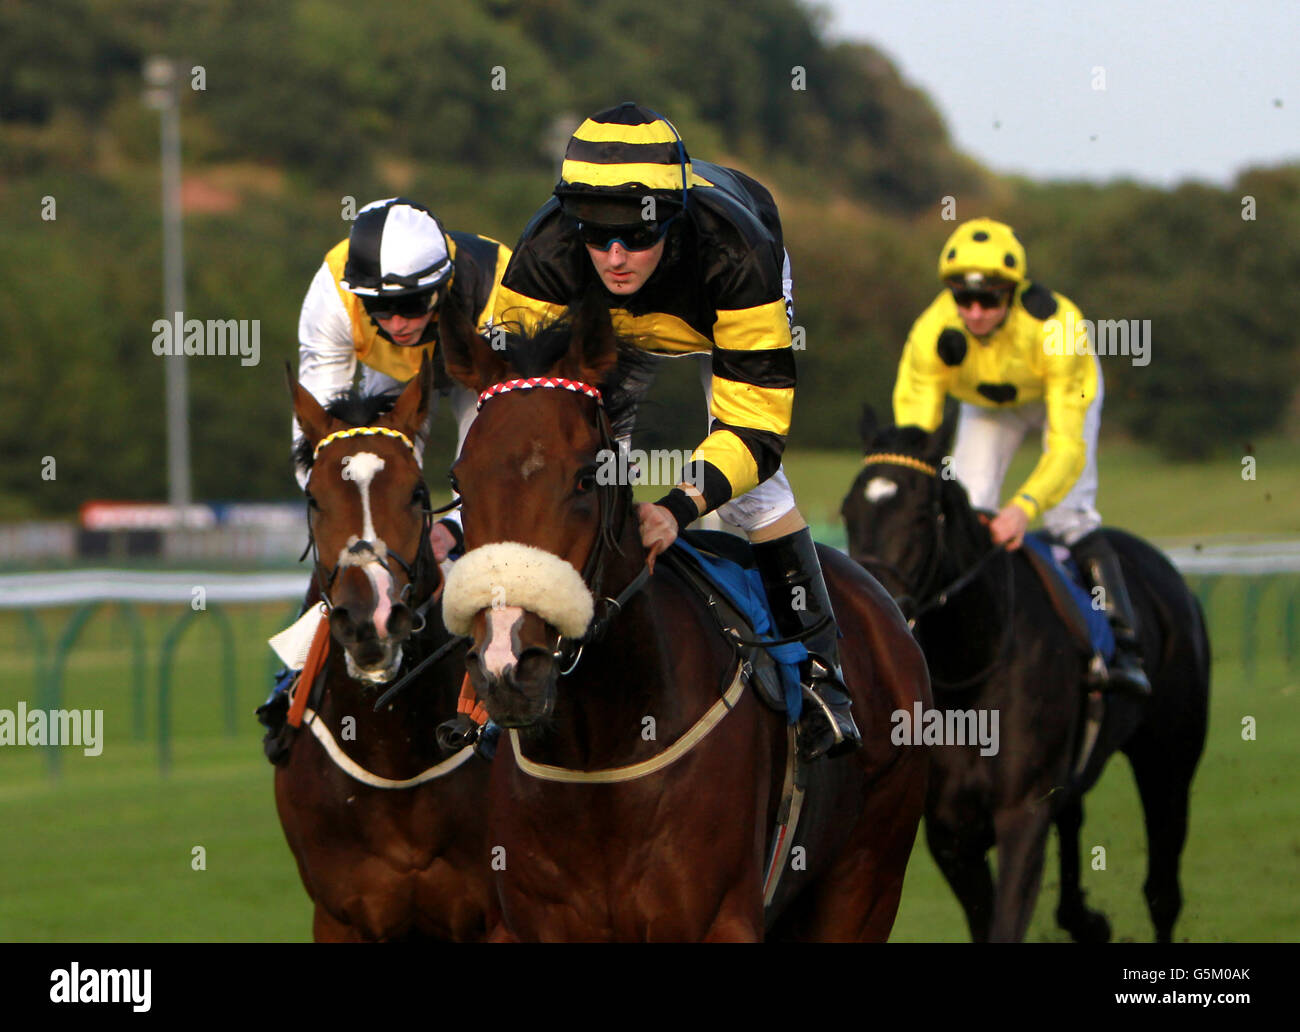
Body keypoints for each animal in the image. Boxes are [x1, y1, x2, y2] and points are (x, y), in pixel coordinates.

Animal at [436, 295, 935, 941]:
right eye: (458, 480)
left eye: (585, 478)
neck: (599, 748)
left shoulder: (719, 918)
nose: (506, 667)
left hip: (867, 879)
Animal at [842, 410, 1206, 941]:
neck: (973, 667)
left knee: (1163, 892)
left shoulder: (1022, 813)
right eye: (848, 512)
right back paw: (1084, 919)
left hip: (1169, 759)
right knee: (1074, 820)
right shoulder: (950, 832)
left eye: (921, 514)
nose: (876, 604)